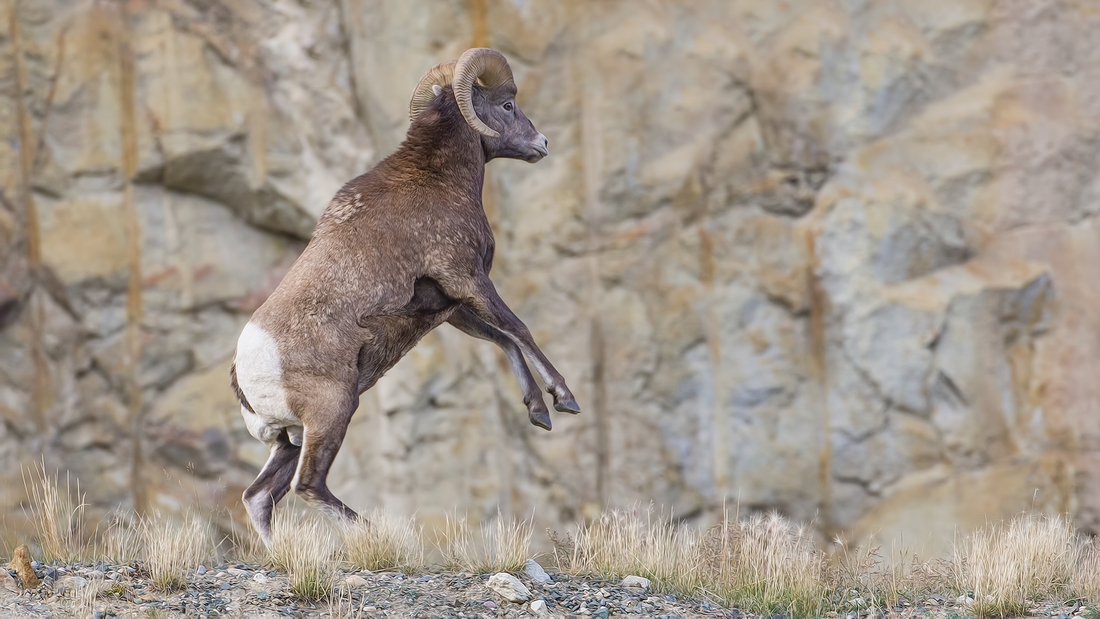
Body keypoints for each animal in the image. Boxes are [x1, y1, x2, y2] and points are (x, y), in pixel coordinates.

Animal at [227, 49, 580, 547]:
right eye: (508, 105)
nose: (542, 143)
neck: (437, 179)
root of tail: (246, 372)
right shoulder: (467, 279)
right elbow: (519, 330)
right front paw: (564, 399)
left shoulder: (451, 308)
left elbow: (503, 339)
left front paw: (538, 413)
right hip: (334, 413)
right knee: (308, 485)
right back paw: (380, 537)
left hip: (290, 440)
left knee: (259, 497)